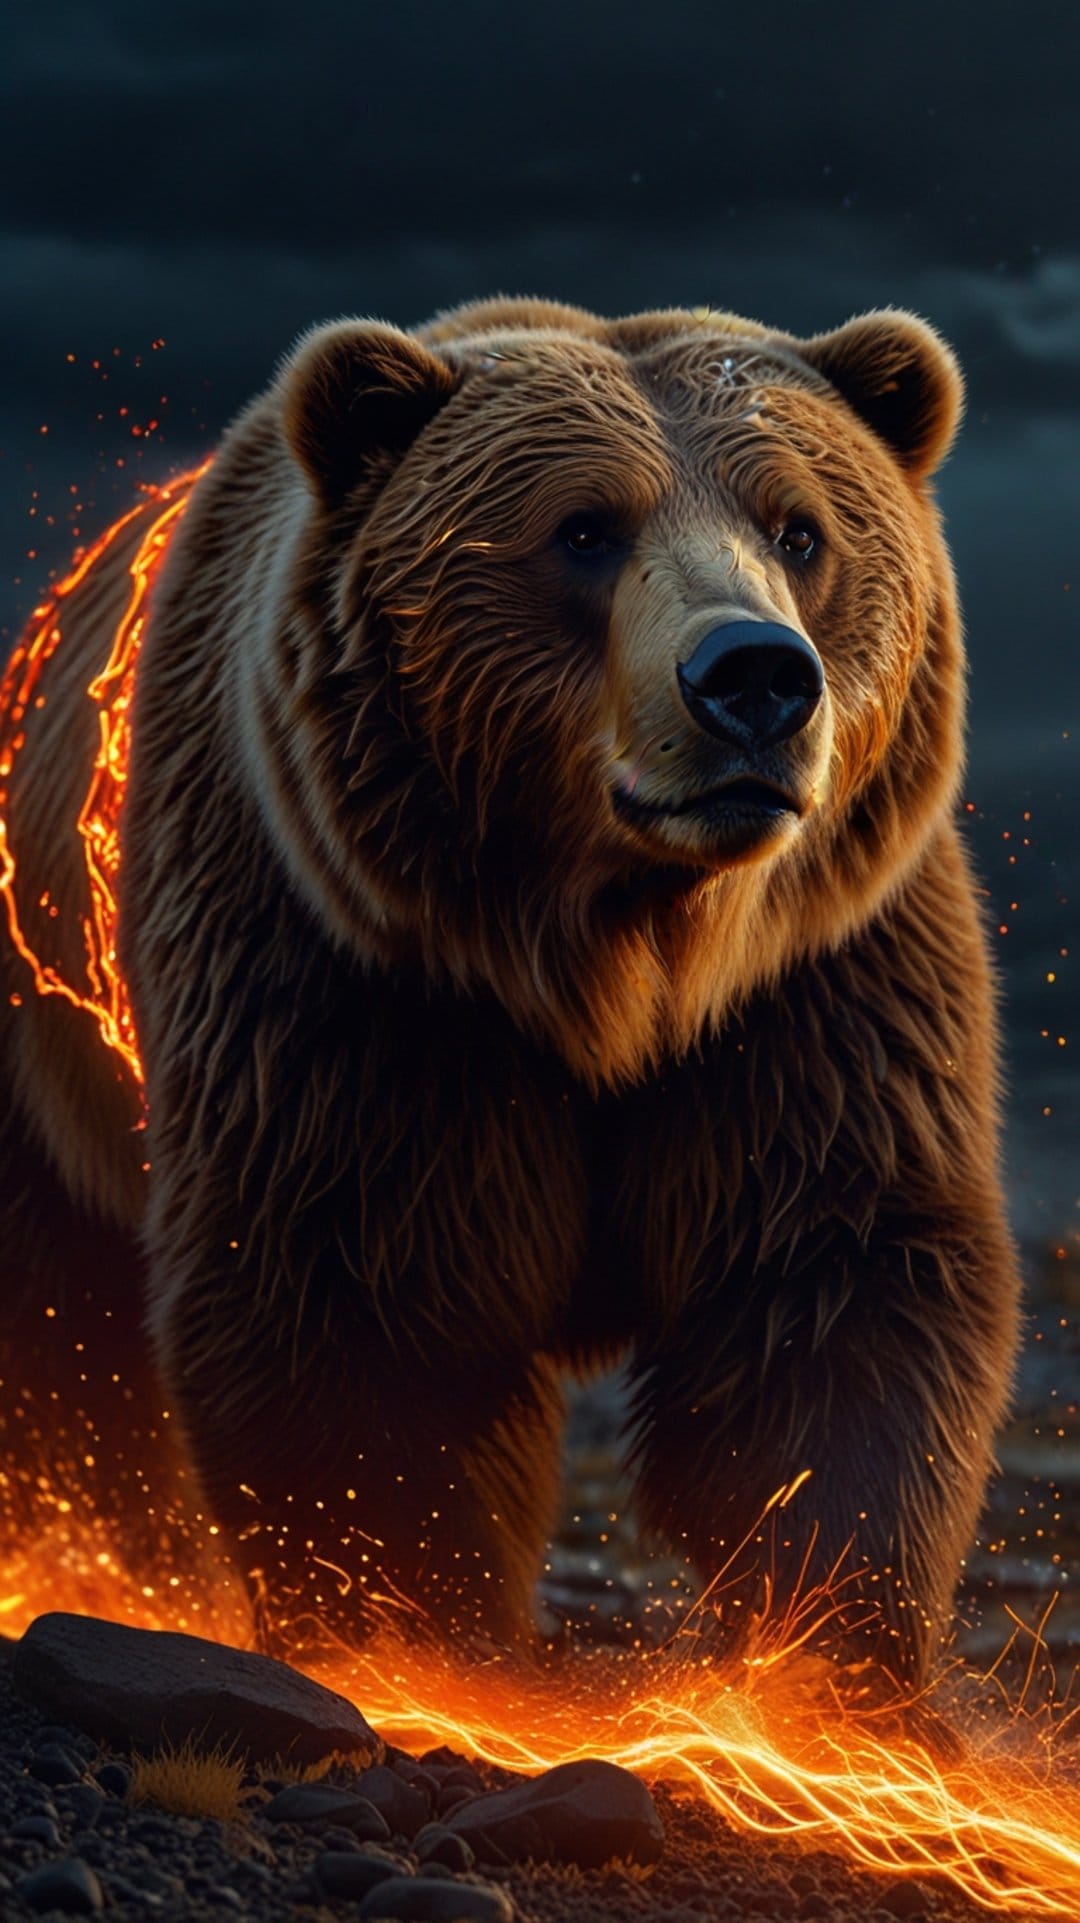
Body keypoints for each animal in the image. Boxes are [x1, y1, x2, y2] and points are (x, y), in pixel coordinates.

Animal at [0, 296, 1019, 1686]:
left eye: (799, 527)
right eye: (585, 528)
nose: (754, 675)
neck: (618, 957)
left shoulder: (817, 986)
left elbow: (827, 1292)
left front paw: (838, 1668)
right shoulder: (356, 987)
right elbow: (360, 1320)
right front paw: (430, 1653)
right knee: (70, 1372)